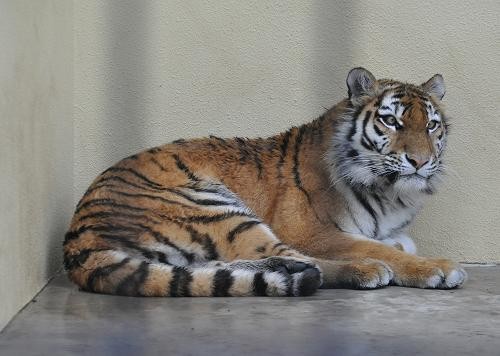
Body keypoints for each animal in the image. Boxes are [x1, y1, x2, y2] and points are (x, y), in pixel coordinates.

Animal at [64, 68, 466, 296]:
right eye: (391, 121)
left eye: (431, 125)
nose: (420, 161)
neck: (391, 192)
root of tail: (77, 239)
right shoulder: (310, 231)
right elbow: (376, 247)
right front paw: (434, 268)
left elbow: (395, 242)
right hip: (214, 208)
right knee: (303, 262)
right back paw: (363, 271)